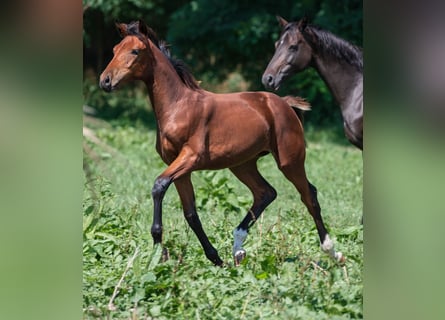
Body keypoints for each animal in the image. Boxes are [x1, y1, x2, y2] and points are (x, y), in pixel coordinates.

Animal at [99, 20, 344, 264]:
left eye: (135, 51)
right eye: (114, 50)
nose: (105, 81)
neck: (178, 106)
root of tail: (284, 104)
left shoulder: (191, 157)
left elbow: (159, 186)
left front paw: (159, 249)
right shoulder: (179, 167)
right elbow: (191, 213)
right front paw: (214, 258)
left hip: (289, 161)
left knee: (309, 195)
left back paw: (332, 251)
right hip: (242, 164)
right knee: (266, 193)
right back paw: (238, 249)